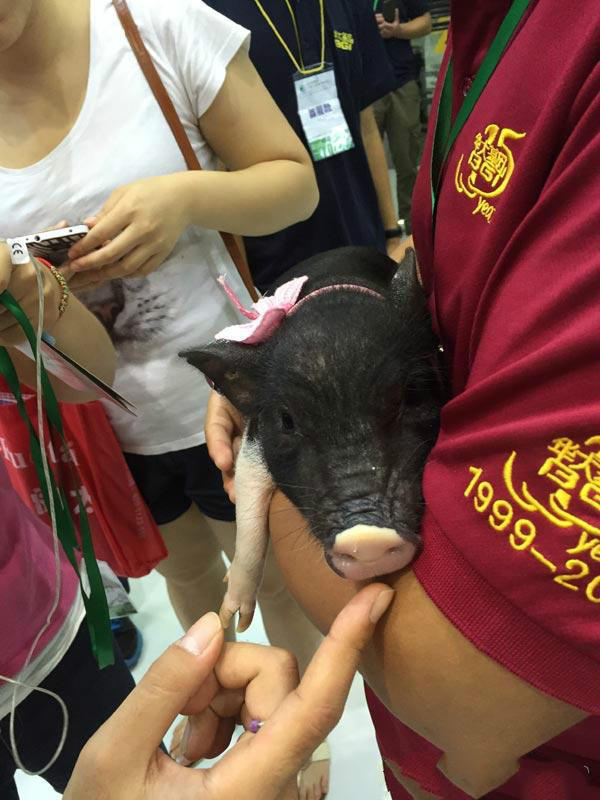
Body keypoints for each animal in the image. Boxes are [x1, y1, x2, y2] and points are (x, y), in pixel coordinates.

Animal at [181, 246, 445, 631]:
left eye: (411, 395)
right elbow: (248, 504)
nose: (366, 536)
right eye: (287, 420)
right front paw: (234, 618)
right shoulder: (256, 437)